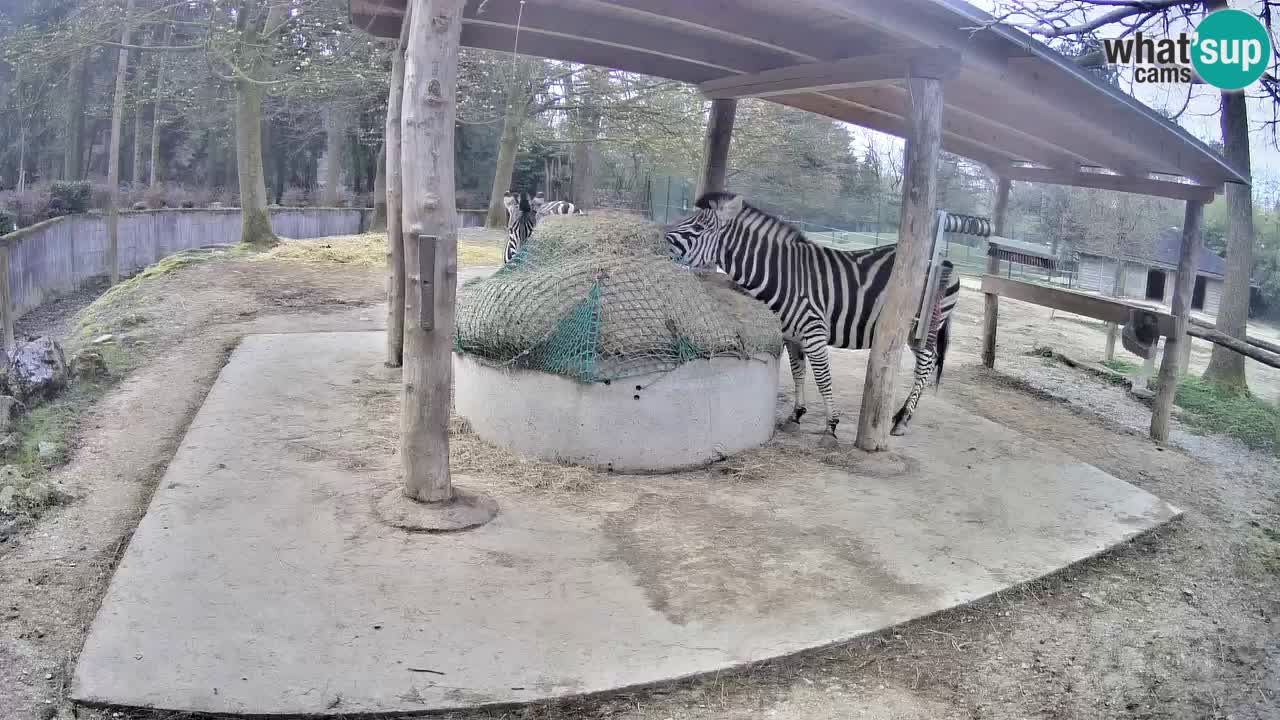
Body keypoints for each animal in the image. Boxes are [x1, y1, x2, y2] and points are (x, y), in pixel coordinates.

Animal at [665, 191, 959, 443]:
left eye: (697, 229)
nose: (658, 237)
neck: (784, 276)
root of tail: (943, 262)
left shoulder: (814, 332)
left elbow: (822, 378)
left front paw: (831, 425)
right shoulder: (791, 335)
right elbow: (798, 373)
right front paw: (796, 415)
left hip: (922, 329)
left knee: (926, 365)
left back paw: (902, 419)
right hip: (911, 332)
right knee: (927, 363)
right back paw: (901, 415)